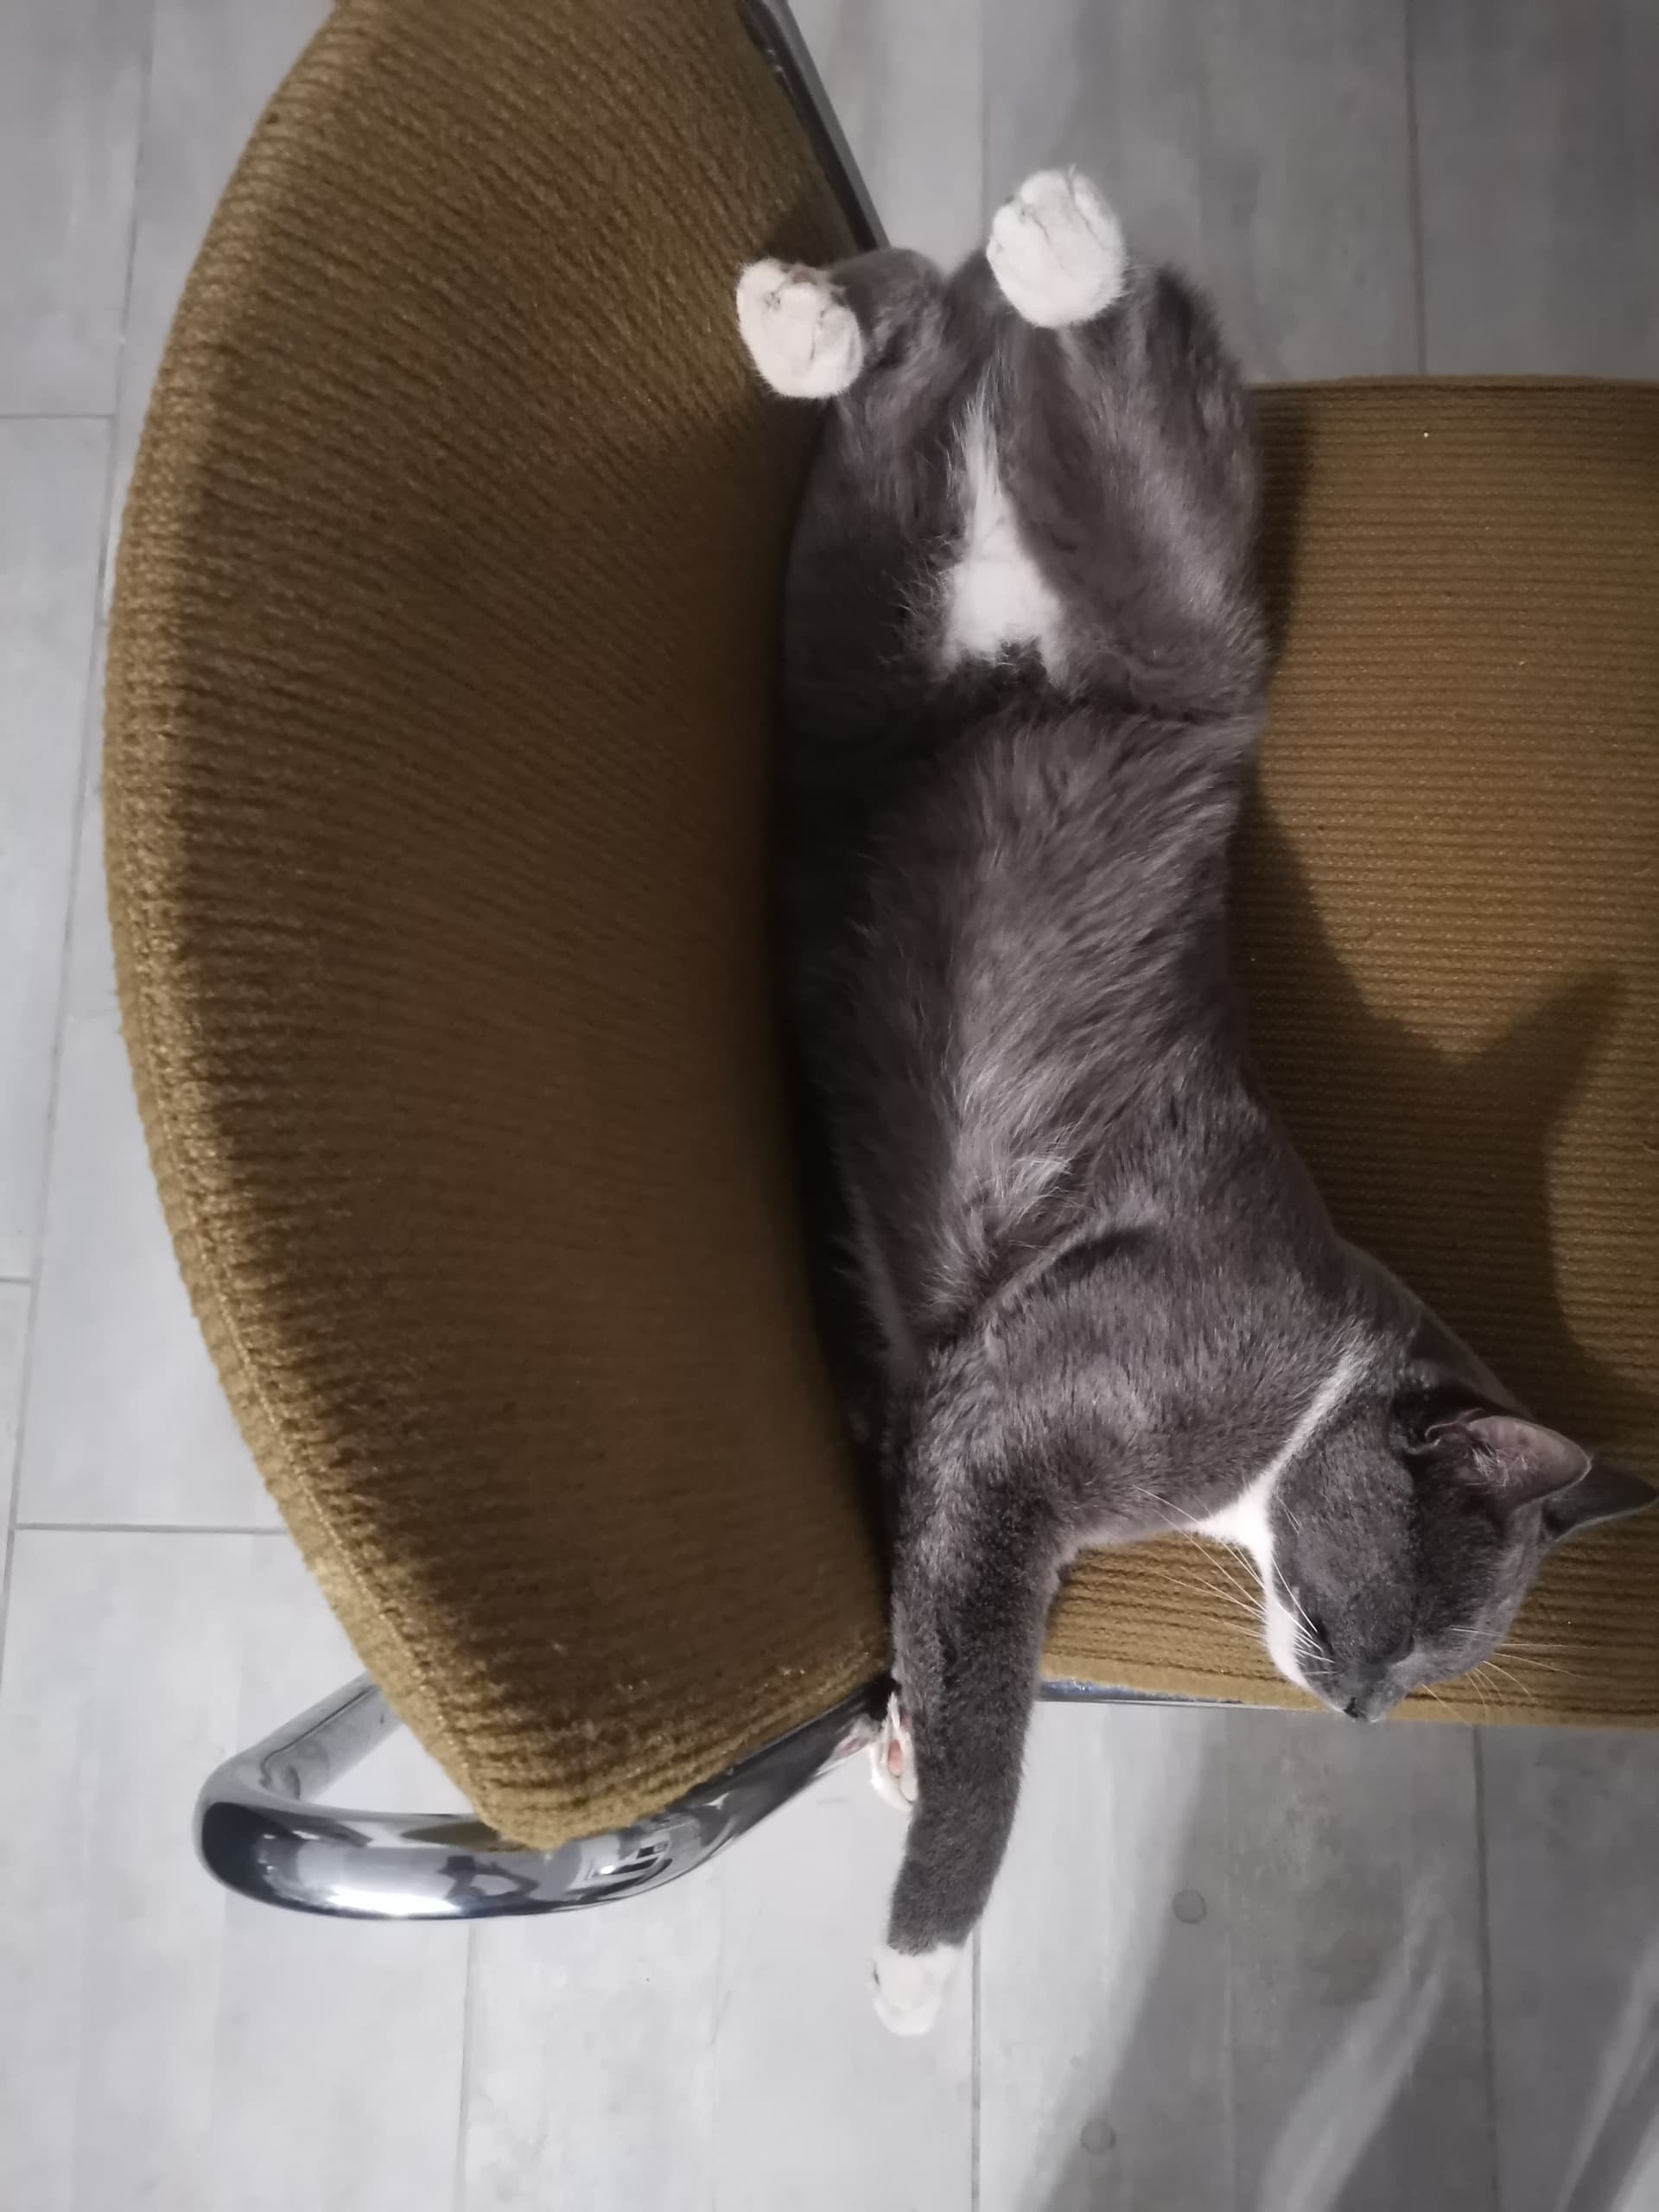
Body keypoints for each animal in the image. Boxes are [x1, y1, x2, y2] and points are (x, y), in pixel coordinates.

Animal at [735, 169, 1653, 2036]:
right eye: (1427, 1630)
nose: (1362, 1708)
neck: (1294, 1423)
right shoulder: (1024, 1425)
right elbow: (999, 1739)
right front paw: (922, 1957)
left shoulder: (950, 1421)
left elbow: (941, 1645)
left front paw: (892, 1739)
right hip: (1197, 622)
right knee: (1108, 366)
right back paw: (1055, 242)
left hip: (854, 613)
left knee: (919, 340)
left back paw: (815, 313)